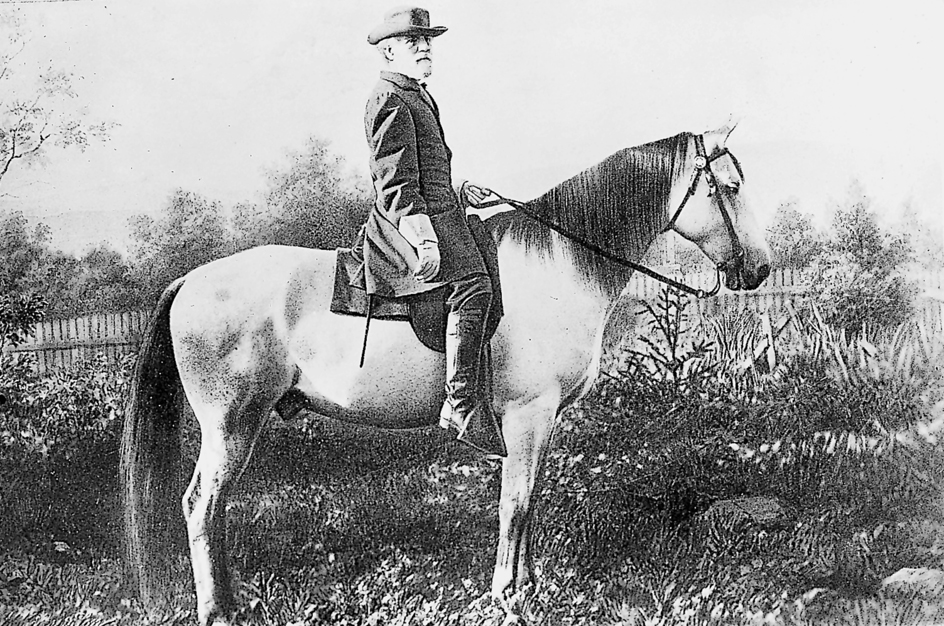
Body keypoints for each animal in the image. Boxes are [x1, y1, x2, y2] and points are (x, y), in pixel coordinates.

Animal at [120, 123, 768, 624]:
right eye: (731, 187)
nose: (759, 270)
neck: (559, 262)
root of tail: (190, 280)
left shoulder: (538, 422)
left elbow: (527, 498)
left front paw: (527, 585)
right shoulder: (527, 415)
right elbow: (516, 505)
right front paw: (505, 594)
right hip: (230, 425)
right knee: (201, 505)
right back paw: (218, 609)